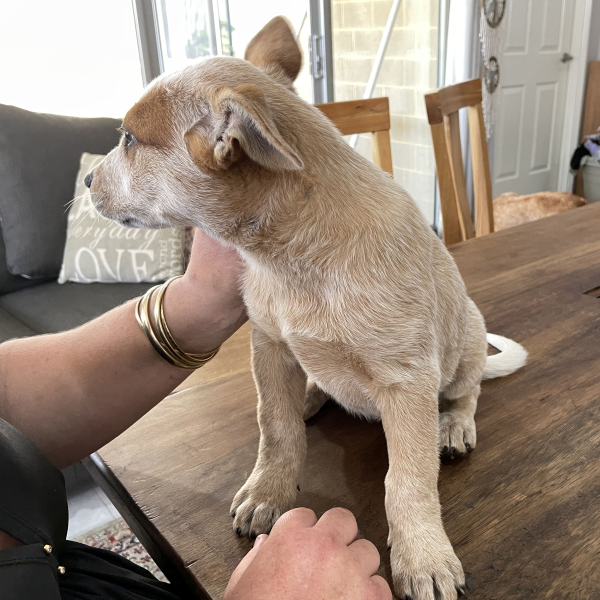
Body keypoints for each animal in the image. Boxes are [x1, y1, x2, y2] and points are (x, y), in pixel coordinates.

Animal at [88, 18, 524, 600]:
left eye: (130, 140)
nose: (86, 180)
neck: (291, 263)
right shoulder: (270, 345)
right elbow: (275, 426)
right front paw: (269, 490)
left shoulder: (407, 380)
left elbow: (407, 478)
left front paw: (423, 553)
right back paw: (314, 394)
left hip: (468, 340)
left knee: (467, 391)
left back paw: (453, 425)